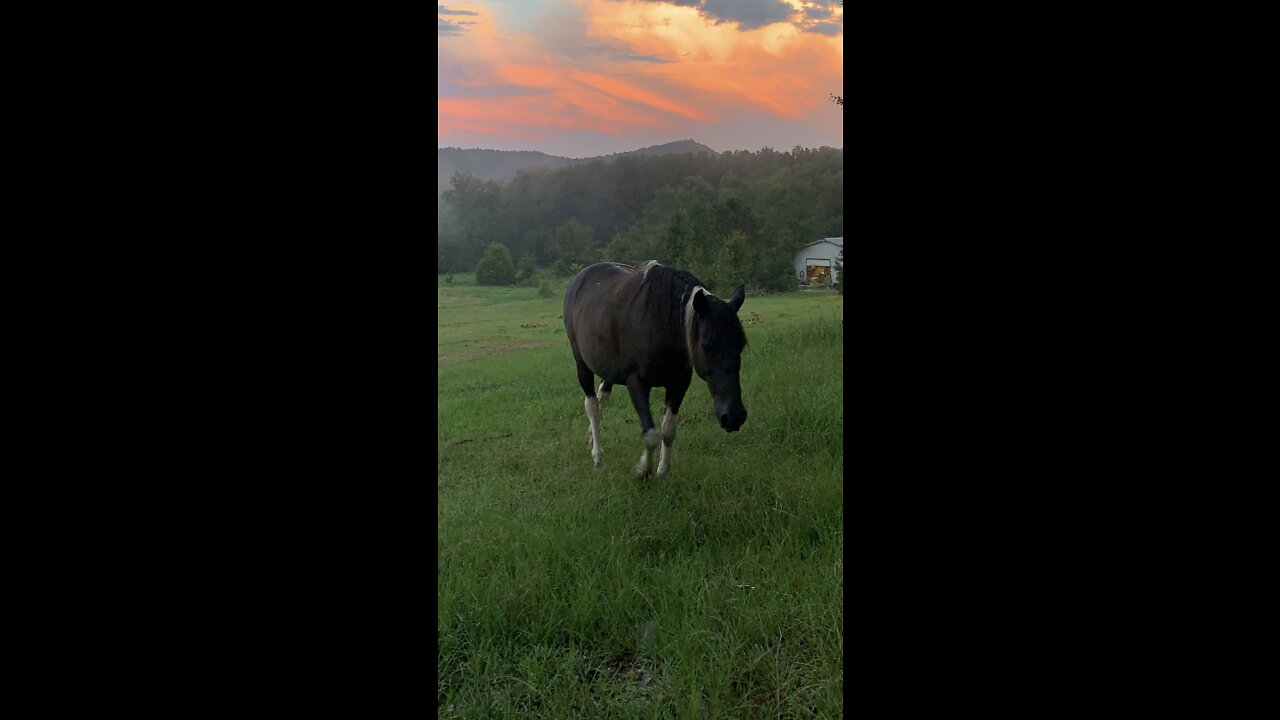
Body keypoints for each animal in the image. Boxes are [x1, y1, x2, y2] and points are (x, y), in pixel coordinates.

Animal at [563, 260, 747, 474]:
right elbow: (650, 434)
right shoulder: (636, 382)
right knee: (592, 406)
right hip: (582, 365)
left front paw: (663, 470)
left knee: (602, 397)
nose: (734, 417)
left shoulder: (679, 383)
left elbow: (668, 430)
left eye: (741, 345)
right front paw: (643, 469)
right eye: (706, 346)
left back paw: (592, 438)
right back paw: (598, 457)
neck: (661, 324)